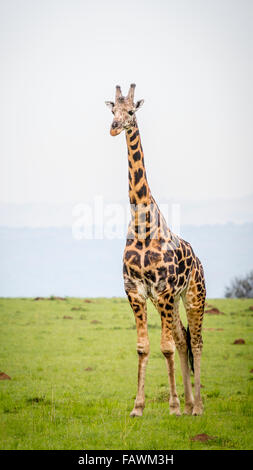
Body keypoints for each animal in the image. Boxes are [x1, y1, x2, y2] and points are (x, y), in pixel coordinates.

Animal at [105, 83, 206, 414]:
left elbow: (165, 347)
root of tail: (198, 260)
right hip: (172, 301)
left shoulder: (162, 290)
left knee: (196, 342)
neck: (142, 227)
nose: (114, 127)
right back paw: (190, 404)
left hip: (193, 295)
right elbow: (144, 347)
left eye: (131, 111)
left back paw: (197, 407)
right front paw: (138, 407)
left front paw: (172, 406)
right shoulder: (136, 291)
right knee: (183, 339)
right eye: (113, 110)